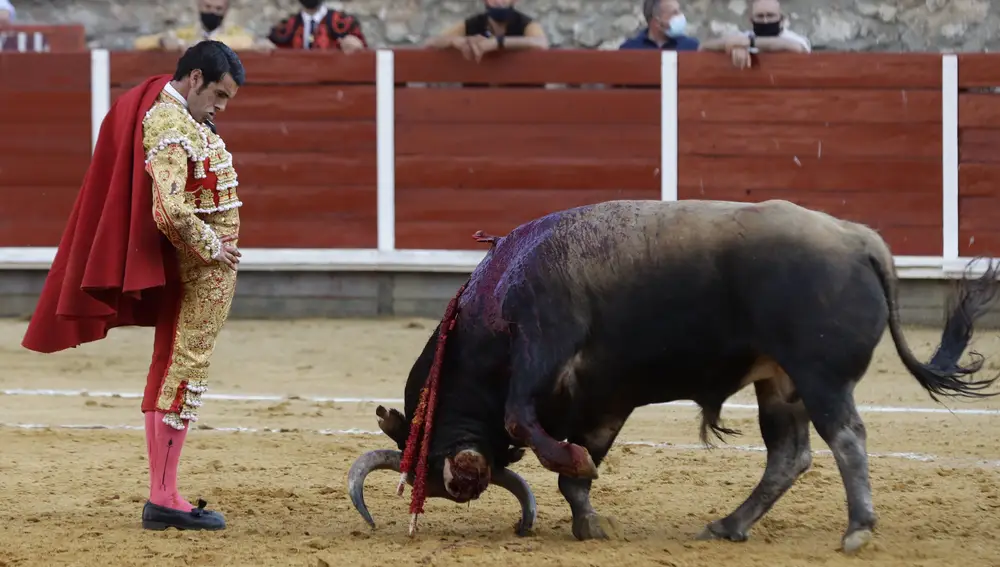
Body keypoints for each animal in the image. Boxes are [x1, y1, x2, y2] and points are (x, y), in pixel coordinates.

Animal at [346, 200, 1000, 556]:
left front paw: (576, 473)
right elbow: (576, 473)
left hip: (820, 376)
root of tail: (860, 240)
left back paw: (857, 530)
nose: (464, 482)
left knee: (846, 440)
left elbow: (523, 421)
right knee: (789, 455)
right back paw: (728, 526)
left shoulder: (543, 343)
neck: (492, 302)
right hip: (779, 383)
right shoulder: (608, 399)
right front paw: (591, 522)